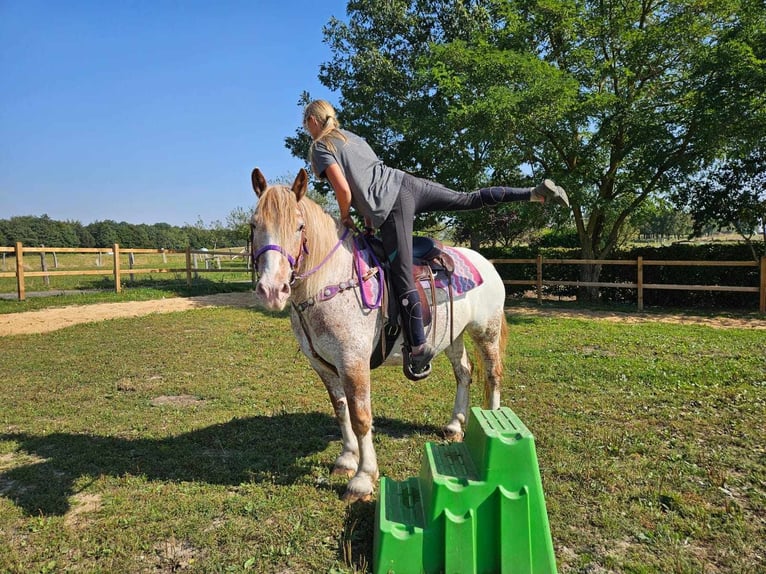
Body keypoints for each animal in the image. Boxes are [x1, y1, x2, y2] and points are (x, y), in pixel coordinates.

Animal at [250, 168, 510, 504]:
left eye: (299, 226)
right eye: (254, 224)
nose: (272, 290)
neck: (331, 283)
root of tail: (485, 263)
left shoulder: (353, 363)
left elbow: (361, 417)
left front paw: (363, 477)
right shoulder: (324, 365)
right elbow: (341, 410)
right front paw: (347, 459)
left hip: (485, 331)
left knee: (492, 373)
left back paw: (492, 423)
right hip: (453, 335)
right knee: (464, 373)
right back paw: (455, 425)